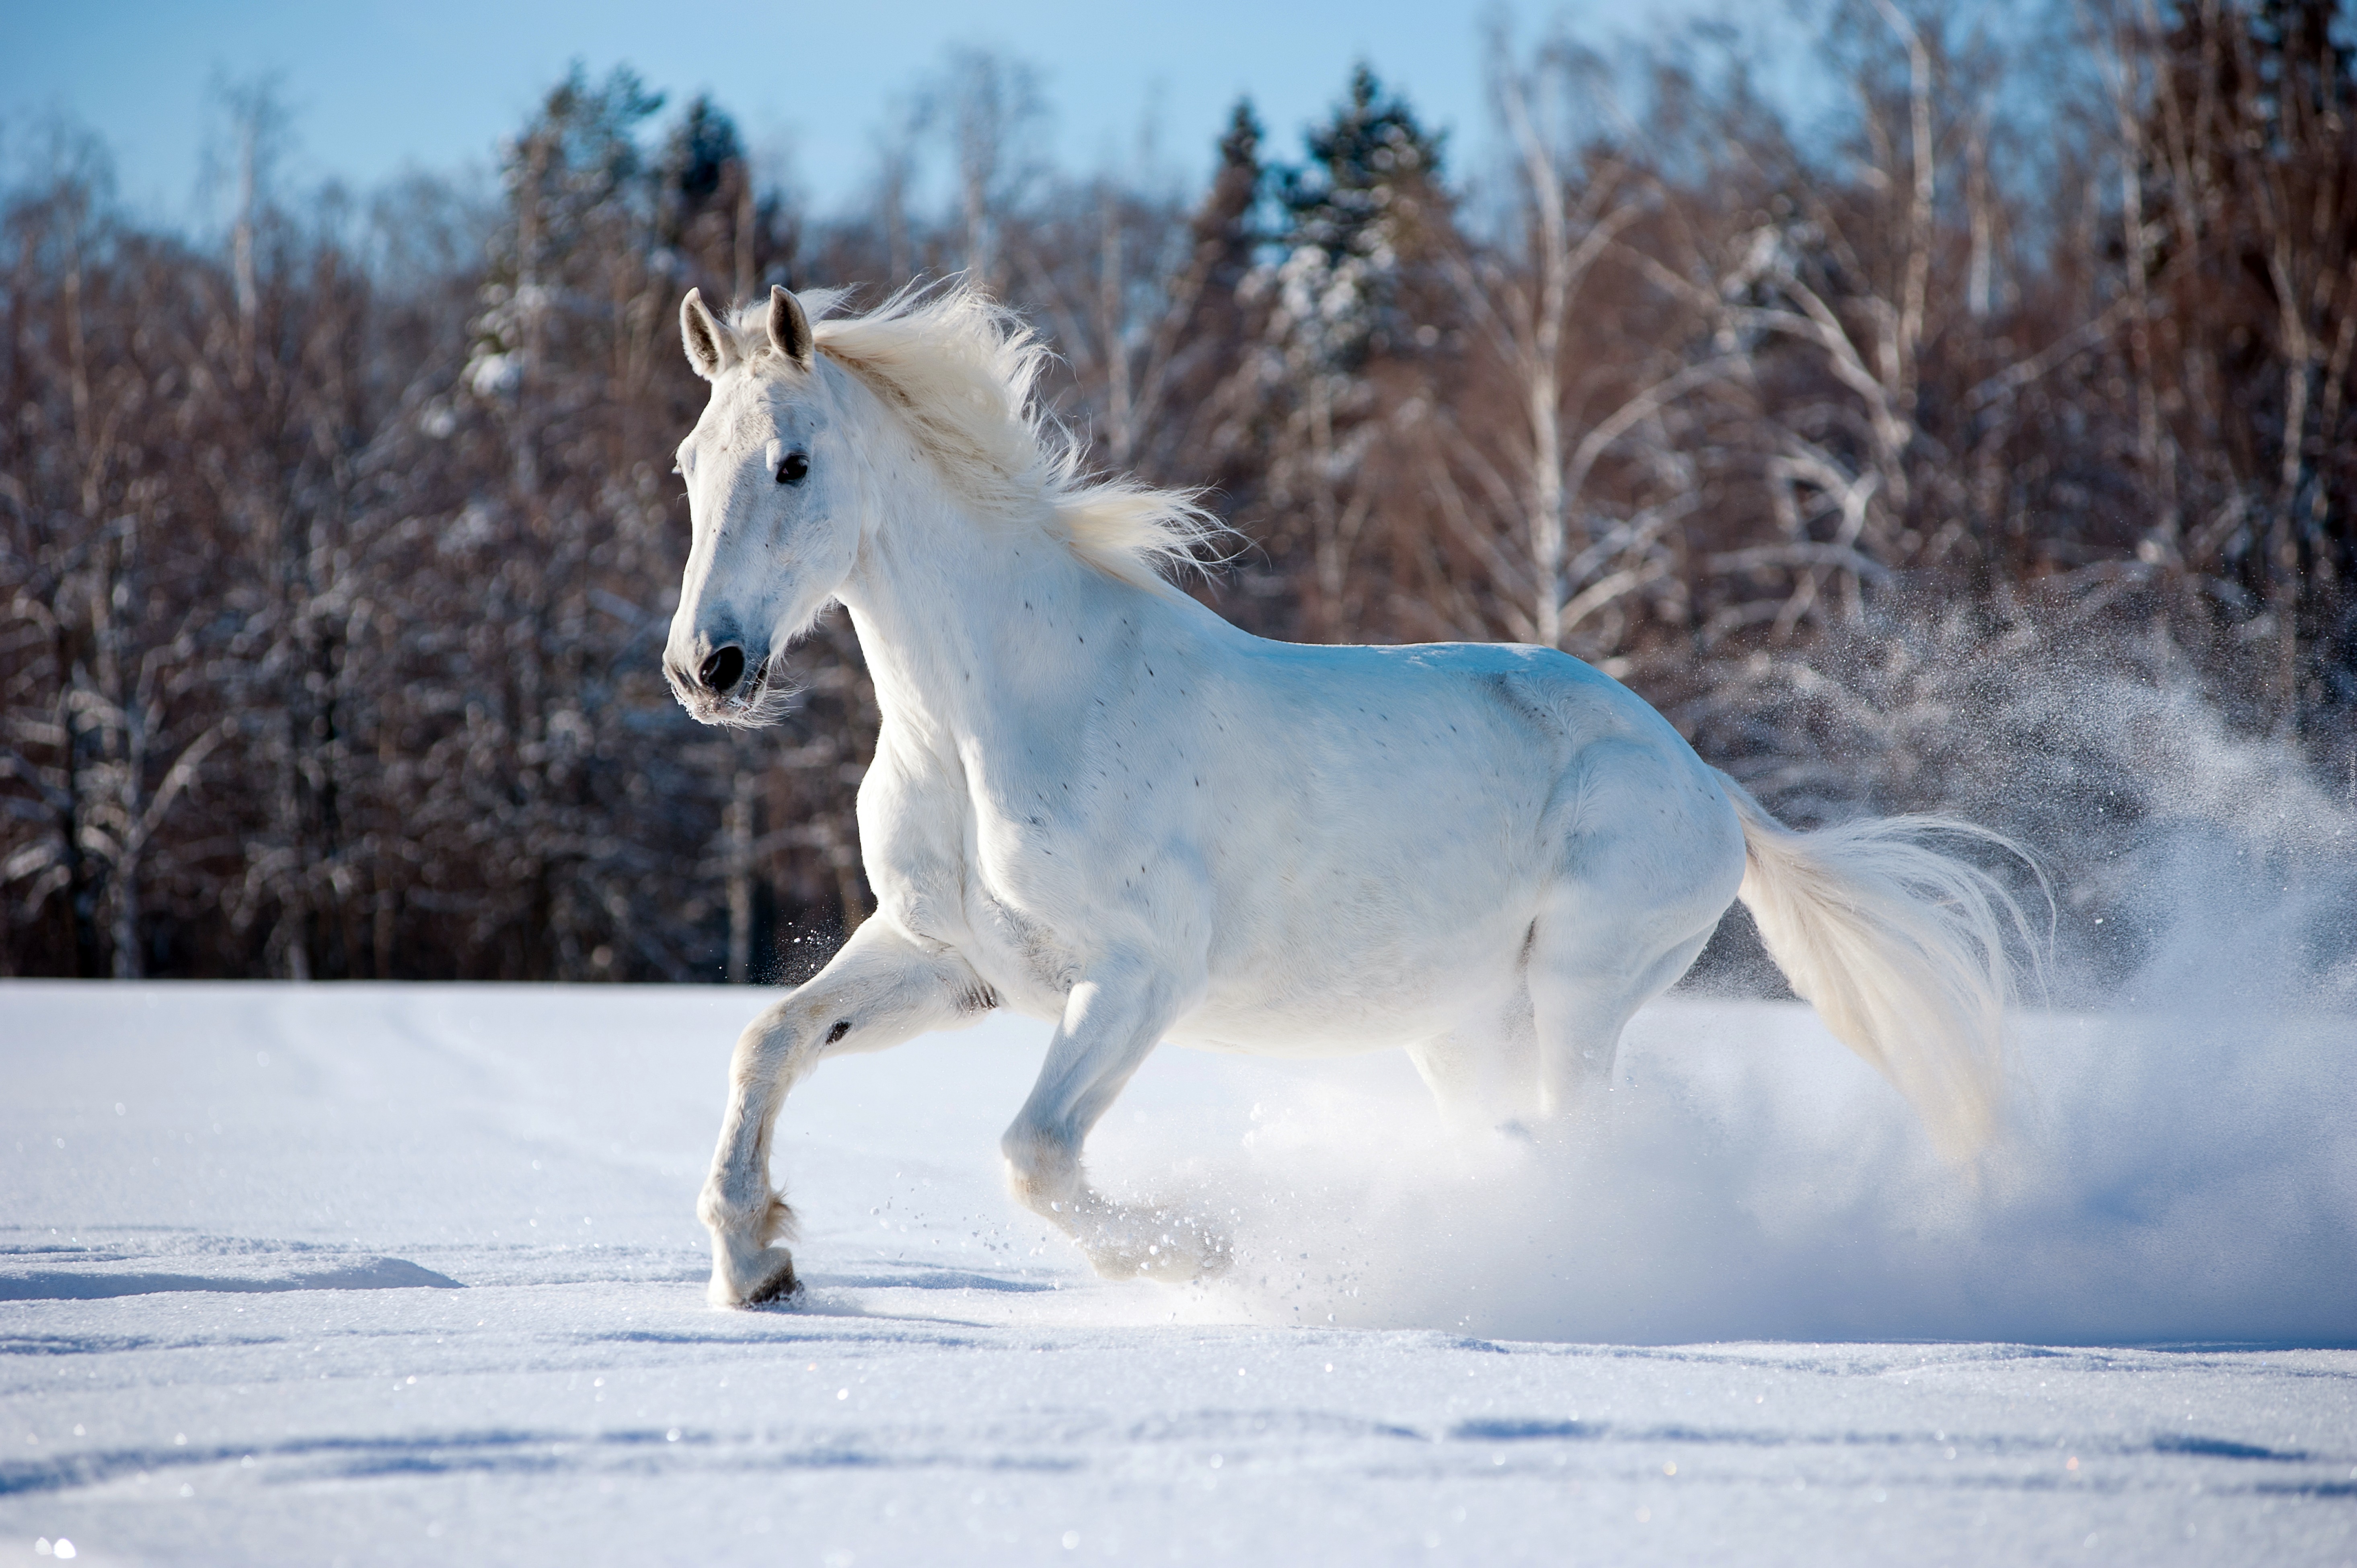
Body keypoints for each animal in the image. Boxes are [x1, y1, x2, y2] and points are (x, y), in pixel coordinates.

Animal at [660, 284, 2027, 1311]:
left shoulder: (1141, 973)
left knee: (1581, 1141)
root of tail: (1704, 782)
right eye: (686, 465)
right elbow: (768, 1040)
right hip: (1461, 1027)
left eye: (791, 463)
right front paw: (758, 1263)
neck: (993, 716)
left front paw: (1200, 1253)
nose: (705, 668)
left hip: (1581, 990)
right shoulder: (951, 959)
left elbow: (1034, 1155)